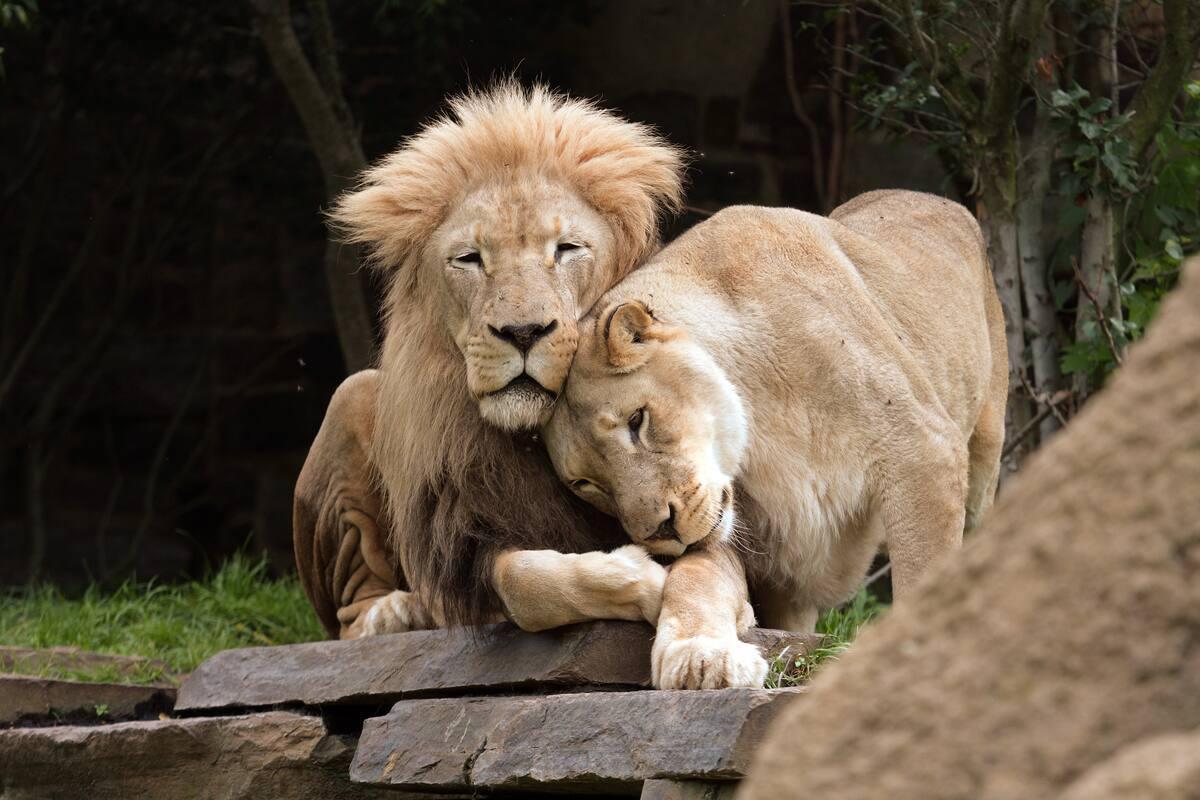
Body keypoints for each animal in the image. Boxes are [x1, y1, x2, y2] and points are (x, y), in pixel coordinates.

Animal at [292, 86, 686, 638]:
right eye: (470, 258)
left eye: (567, 249)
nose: (522, 332)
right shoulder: (468, 541)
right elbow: (524, 581)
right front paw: (643, 579)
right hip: (352, 395)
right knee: (350, 613)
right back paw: (396, 613)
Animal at [544, 191, 1003, 690]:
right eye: (586, 485)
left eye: (637, 420)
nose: (660, 532)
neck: (762, 419)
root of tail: (933, 197)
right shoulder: (747, 540)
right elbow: (694, 579)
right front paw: (697, 657)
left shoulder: (921, 447)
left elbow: (923, 572)